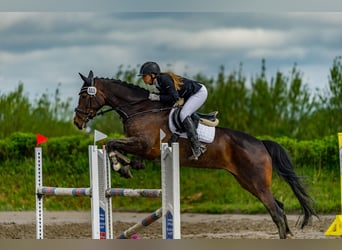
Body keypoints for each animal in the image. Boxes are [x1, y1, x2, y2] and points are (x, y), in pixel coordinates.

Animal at [73, 70, 316, 238]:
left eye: (84, 97)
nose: (77, 121)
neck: (139, 109)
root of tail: (261, 144)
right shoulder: (141, 148)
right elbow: (115, 146)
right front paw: (124, 165)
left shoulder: (144, 145)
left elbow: (112, 143)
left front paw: (119, 165)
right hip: (247, 182)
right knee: (279, 207)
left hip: (256, 182)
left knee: (276, 212)